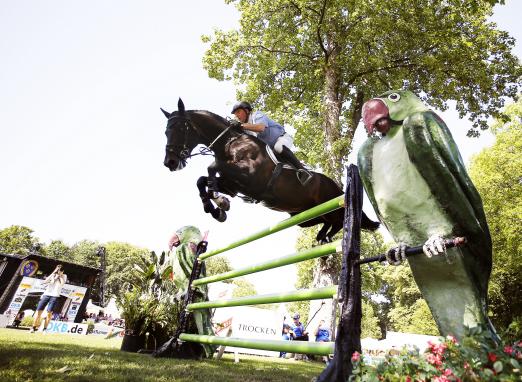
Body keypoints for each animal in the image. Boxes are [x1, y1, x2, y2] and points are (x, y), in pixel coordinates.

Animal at [160, 98, 376, 242]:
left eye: (180, 128)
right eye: (165, 131)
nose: (170, 162)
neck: (229, 143)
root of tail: (338, 185)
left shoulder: (249, 176)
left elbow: (212, 167)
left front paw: (220, 203)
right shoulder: (233, 185)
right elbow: (201, 181)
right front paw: (216, 209)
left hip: (331, 203)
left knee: (339, 219)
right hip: (303, 215)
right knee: (328, 221)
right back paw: (322, 237)